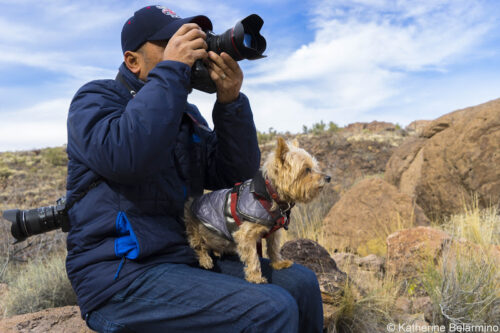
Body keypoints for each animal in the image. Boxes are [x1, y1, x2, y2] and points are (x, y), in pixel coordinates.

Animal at [186, 136, 330, 282]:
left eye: (315, 167)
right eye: (306, 169)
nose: (328, 177)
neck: (269, 194)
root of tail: (193, 201)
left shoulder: (273, 232)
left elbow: (273, 247)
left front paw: (278, 263)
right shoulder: (245, 235)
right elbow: (253, 258)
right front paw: (256, 278)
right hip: (194, 228)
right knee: (198, 245)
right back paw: (205, 260)